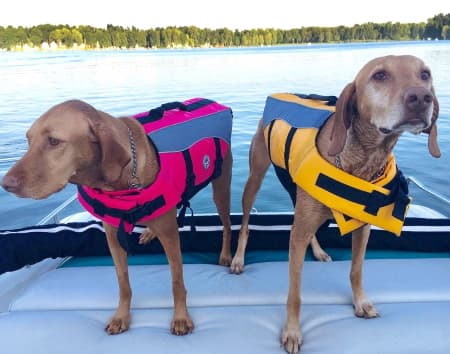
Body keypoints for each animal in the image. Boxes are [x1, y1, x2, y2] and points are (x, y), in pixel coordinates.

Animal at [3, 99, 234, 334]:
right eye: (29, 140)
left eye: (53, 141)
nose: (6, 184)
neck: (121, 180)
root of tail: (216, 103)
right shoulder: (113, 236)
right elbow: (123, 284)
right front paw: (121, 316)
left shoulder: (170, 236)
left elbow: (177, 282)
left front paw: (180, 317)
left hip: (221, 188)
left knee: (226, 225)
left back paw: (226, 255)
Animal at [232, 54, 440, 352]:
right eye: (379, 76)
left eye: (424, 74)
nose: (421, 97)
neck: (363, 160)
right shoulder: (296, 237)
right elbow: (295, 293)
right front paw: (292, 332)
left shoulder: (363, 227)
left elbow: (356, 270)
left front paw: (361, 302)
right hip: (255, 177)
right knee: (246, 223)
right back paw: (238, 259)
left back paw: (318, 251)